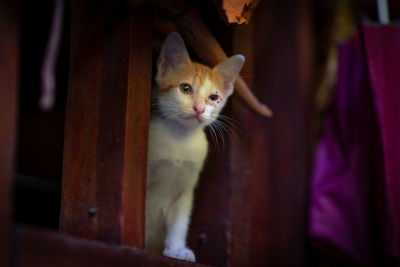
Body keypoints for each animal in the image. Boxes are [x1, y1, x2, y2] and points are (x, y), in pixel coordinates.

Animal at [145, 31, 242, 262]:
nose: (199, 108)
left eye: (213, 97)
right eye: (185, 88)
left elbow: (180, 223)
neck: (180, 140)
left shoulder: (186, 188)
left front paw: (176, 249)